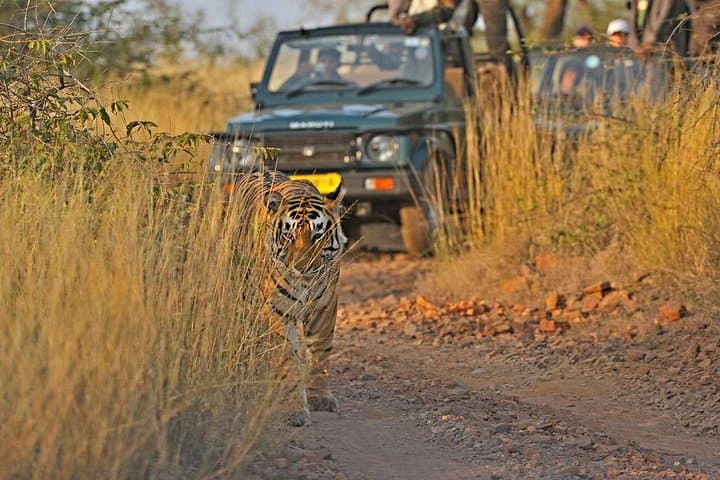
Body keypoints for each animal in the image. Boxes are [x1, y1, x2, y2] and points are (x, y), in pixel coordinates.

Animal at [228, 170, 347, 427]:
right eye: (288, 236)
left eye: (317, 236)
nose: (302, 268)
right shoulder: (276, 310)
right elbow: (287, 361)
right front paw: (293, 409)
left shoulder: (325, 306)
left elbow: (320, 352)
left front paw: (319, 397)